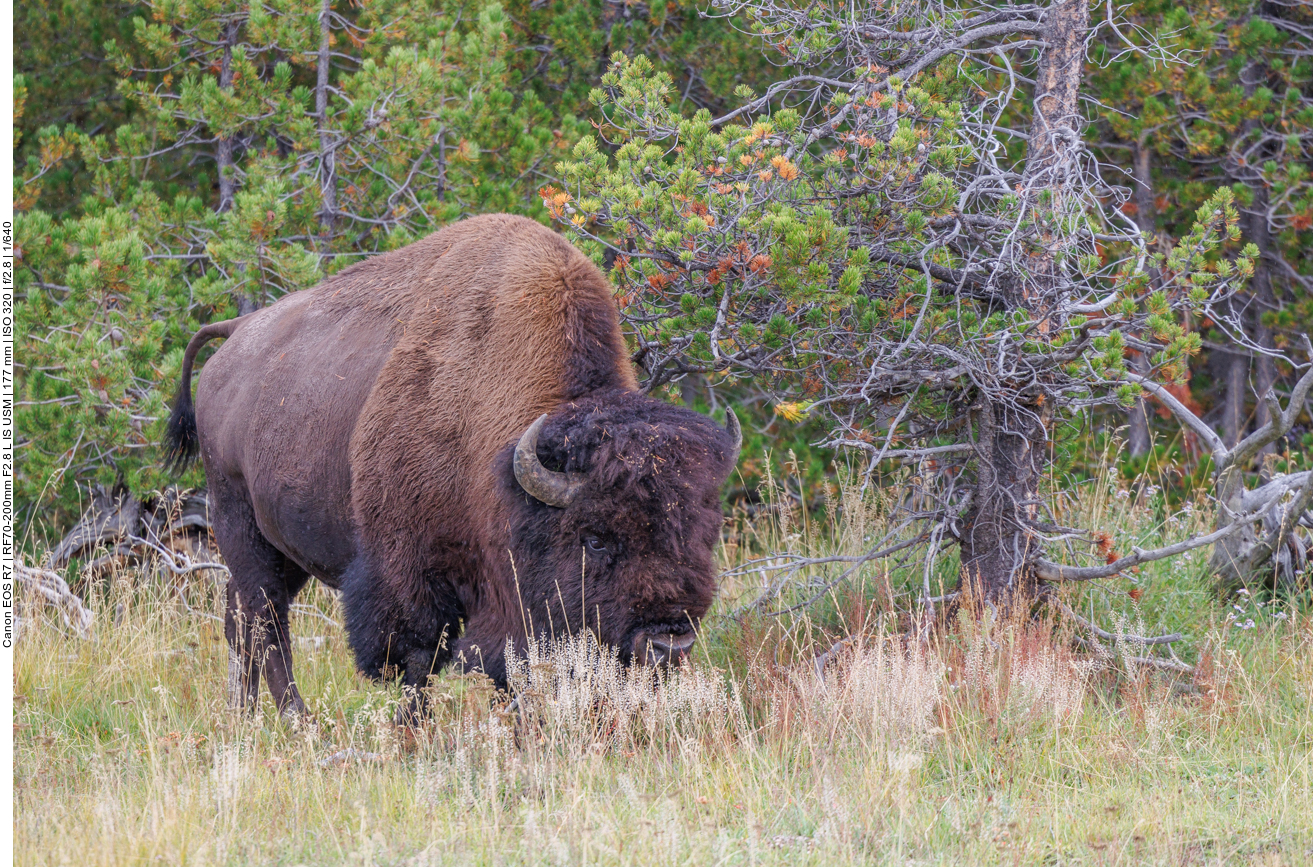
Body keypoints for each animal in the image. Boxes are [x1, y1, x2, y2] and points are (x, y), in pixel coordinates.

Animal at [164, 215, 740, 719]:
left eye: (703, 533)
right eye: (595, 538)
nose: (668, 643)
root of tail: (235, 336)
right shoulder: (409, 575)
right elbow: (417, 661)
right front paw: (411, 730)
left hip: (283, 548)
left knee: (242, 618)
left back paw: (247, 715)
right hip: (238, 521)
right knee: (263, 621)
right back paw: (293, 718)